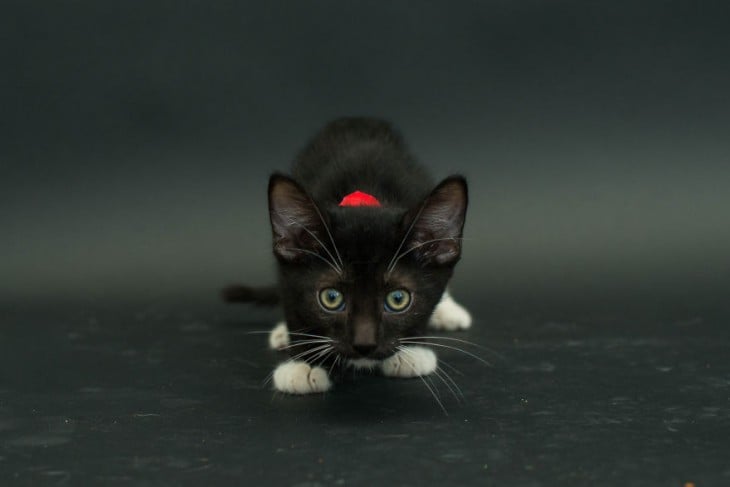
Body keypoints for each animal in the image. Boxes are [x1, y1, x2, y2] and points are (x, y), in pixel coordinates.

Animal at [225, 119, 470, 396]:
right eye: (331, 298)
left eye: (398, 299)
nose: (364, 344)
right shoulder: (287, 272)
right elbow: (292, 302)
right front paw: (303, 365)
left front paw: (413, 351)